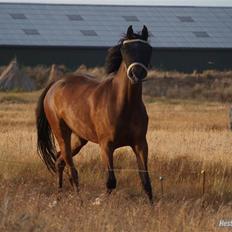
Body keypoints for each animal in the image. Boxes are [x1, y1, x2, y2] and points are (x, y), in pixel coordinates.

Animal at [35, 25, 153, 202]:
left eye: (147, 49)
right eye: (126, 49)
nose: (136, 74)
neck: (124, 105)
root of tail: (55, 84)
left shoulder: (140, 144)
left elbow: (146, 181)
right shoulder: (106, 146)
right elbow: (111, 181)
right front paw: (101, 203)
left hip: (79, 138)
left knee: (59, 160)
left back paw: (59, 195)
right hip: (61, 132)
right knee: (71, 168)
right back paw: (78, 201)